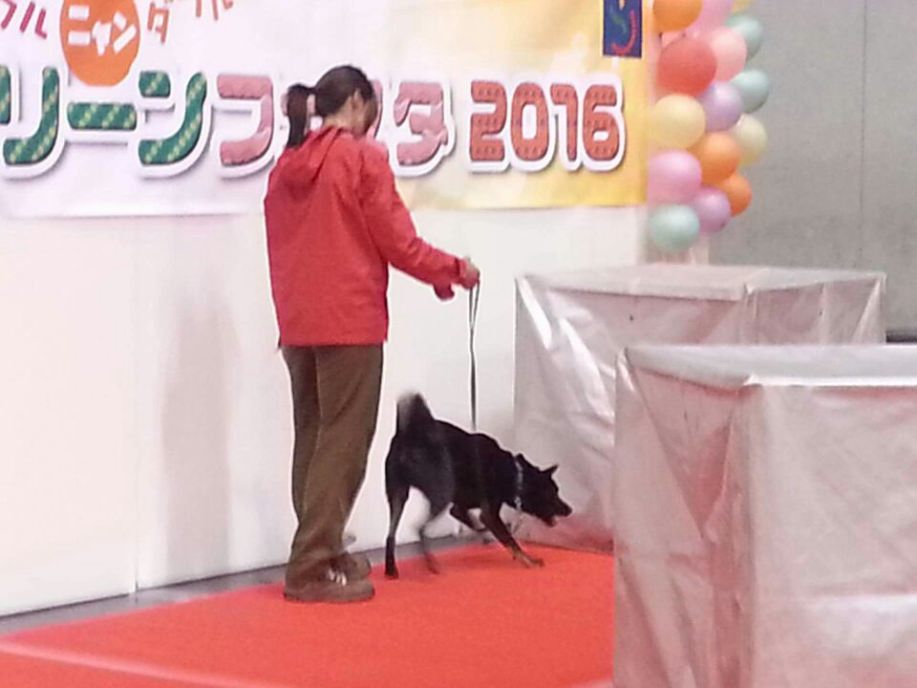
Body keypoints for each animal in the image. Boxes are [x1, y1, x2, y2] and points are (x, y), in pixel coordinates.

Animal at [384, 393, 572, 579]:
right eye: (553, 494)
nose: (569, 510)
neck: (514, 474)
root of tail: (410, 436)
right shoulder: (489, 514)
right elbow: (510, 539)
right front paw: (528, 560)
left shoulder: (460, 508)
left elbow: (473, 521)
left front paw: (485, 537)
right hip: (441, 492)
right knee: (419, 528)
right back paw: (431, 564)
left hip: (398, 494)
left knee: (391, 534)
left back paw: (391, 569)